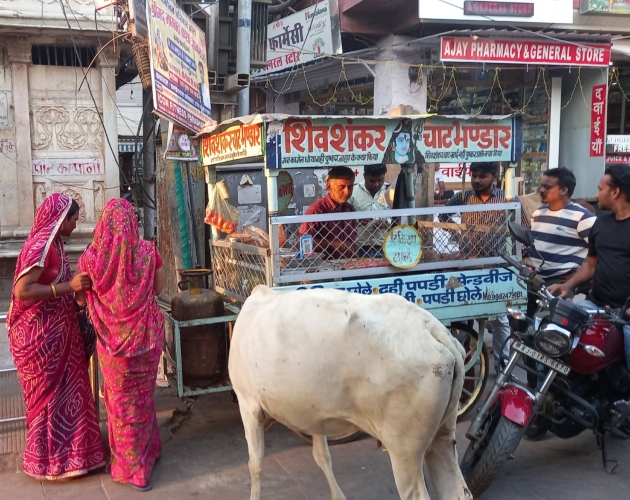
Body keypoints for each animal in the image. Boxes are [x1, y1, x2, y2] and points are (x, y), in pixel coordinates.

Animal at [230, 286, 472, 500]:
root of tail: (431, 328)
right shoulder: (314, 416)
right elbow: (322, 457)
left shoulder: (248, 404)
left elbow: (255, 465)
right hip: (443, 436)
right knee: (458, 491)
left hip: (404, 450)